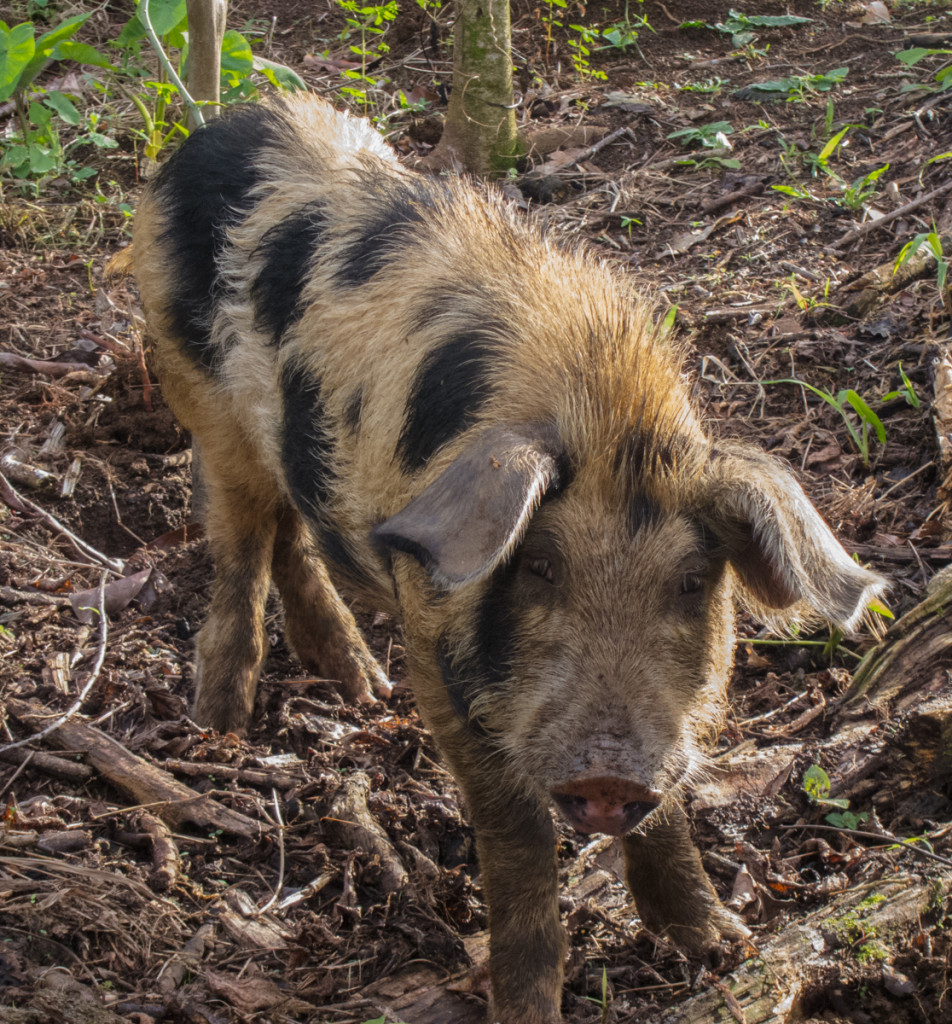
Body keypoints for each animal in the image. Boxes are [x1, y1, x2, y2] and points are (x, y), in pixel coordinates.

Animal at [130, 96, 880, 1024]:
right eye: (539, 567)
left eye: (692, 582)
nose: (609, 773)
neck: (604, 410)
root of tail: (225, 120)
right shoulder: (435, 647)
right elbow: (516, 843)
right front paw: (529, 1006)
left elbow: (669, 808)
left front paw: (722, 948)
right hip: (198, 393)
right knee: (240, 542)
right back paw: (222, 726)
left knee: (291, 531)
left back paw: (359, 688)